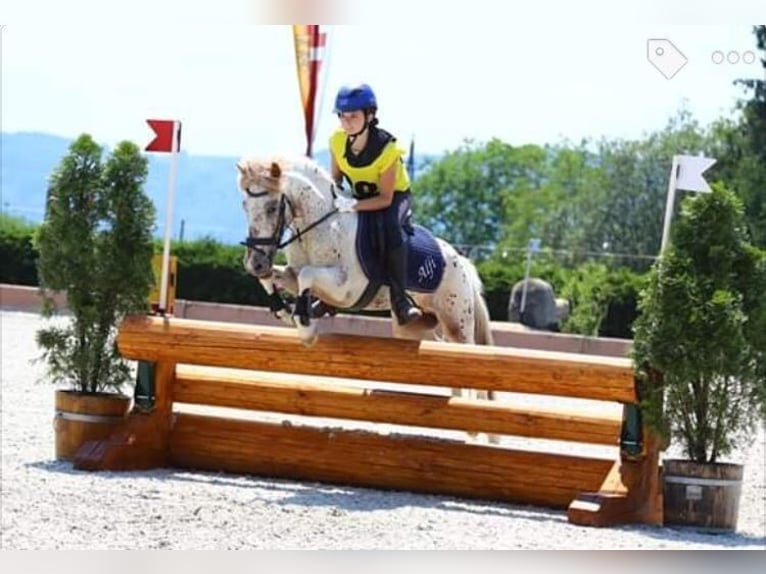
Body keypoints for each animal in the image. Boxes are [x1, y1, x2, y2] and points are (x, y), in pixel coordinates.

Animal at [238, 155, 498, 420]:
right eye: (245, 206)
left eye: (271, 207)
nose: (255, 263)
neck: (321, 227)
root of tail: (461, 261)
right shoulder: (292, 274)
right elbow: (278, 278)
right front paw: (282, 309)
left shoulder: (347, 288)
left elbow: (307, 275)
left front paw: (306, 327)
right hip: (414, 327)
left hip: (457, 323)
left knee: (468, 358)